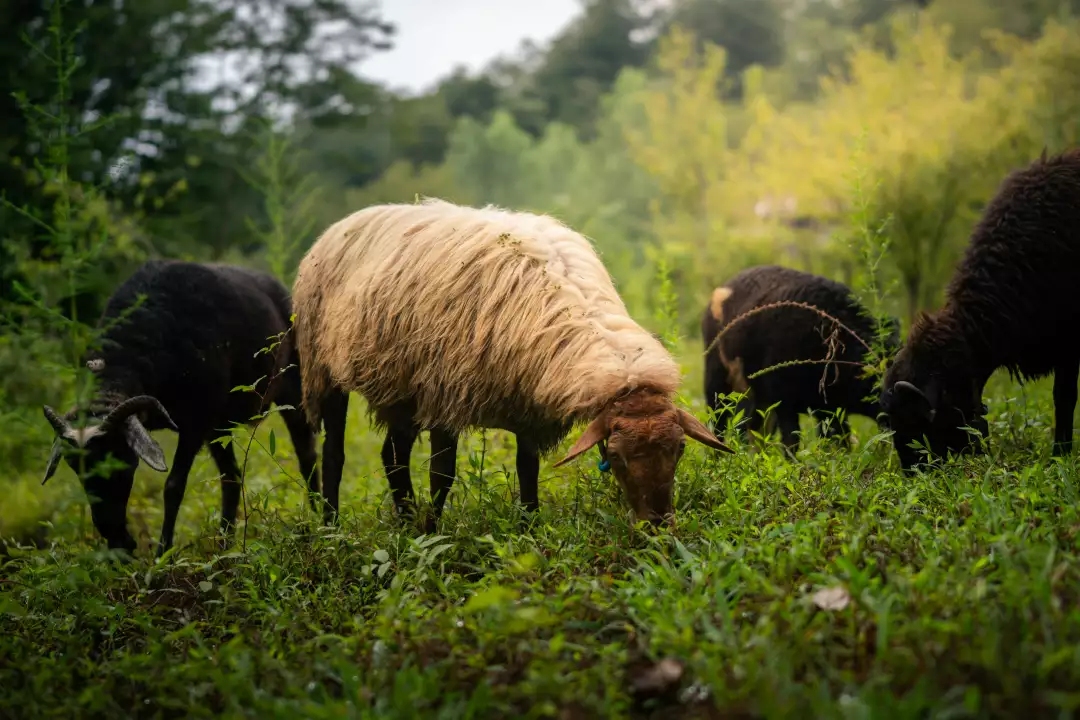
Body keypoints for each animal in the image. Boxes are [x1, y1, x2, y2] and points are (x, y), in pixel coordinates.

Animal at [41, 260, 320, 555]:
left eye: (122, 461)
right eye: (76, 467)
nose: (118, 539)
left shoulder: (195, 423)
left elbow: (173, 486)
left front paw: (163, 553)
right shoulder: (207, 423)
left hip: (292, 390)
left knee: (307, 458)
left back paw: (319, 522)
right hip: (220, 427)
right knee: (232, 477)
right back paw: (225, 547)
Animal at [292, 198, 732, 530]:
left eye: (679, 449)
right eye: (619, 456)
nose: (658, 526)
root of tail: (344, 222)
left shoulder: (527, 405)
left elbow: (527, 469)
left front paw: (528, 527)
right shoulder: (444, 394)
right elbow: (442, 474)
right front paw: (434, 536)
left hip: (401, 387)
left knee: (393, 456)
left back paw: (403, 520)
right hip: (324, 370)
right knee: (334, 454)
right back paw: (333, 527)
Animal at [702, 265, 899, 451]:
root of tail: (722, 290)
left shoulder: (829, 409)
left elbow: (838, 442)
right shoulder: (784, 402)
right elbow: (791, 442)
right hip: (718, 384)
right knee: (718, 425)